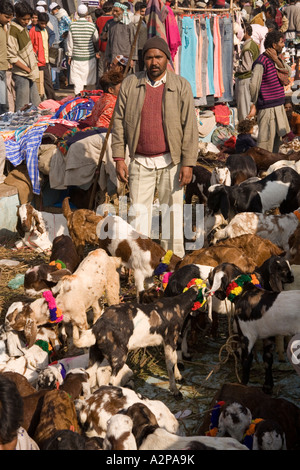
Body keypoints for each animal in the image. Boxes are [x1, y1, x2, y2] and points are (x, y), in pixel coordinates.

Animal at [206, 262, 300, 392]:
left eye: (211, 276)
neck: (244, 291)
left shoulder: (247, 336)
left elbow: (246, 361)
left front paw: (242, 385)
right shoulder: (267, 336)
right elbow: (267, 360)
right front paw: (267, 387)